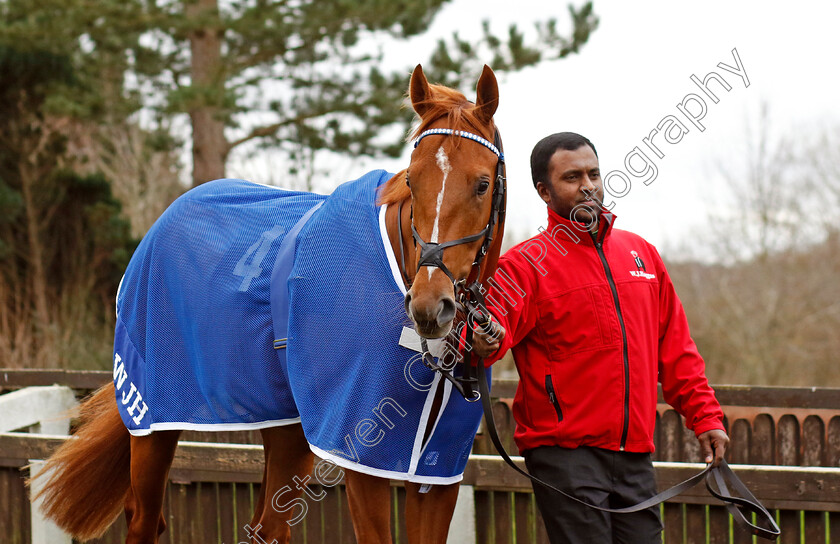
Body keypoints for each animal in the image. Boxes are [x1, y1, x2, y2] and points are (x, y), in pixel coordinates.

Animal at [31, 65, 506, 544]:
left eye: (482, 184)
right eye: (411, 180)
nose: (428, 307)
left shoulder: (437, 470)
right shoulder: (361, 451)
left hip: (282, 422)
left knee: (267, 524)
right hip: (153, 415)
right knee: (145, 517)